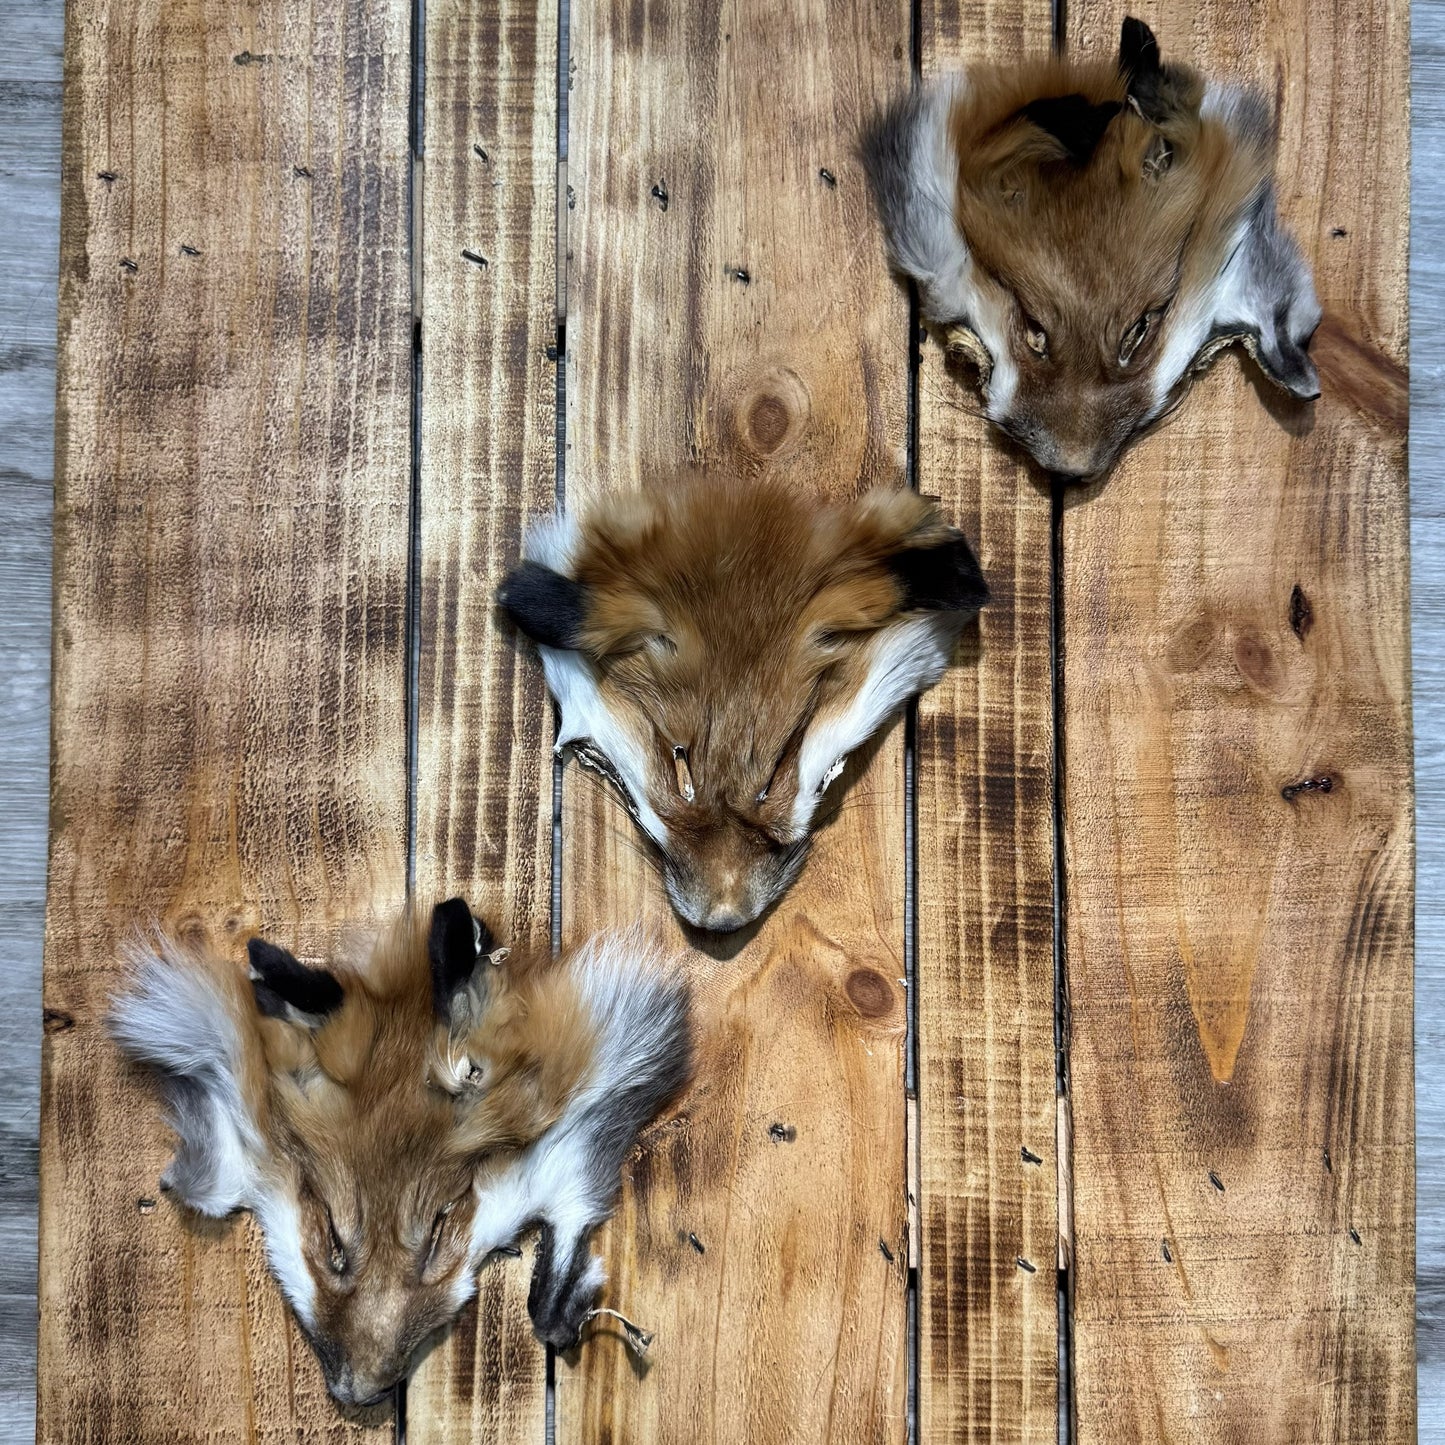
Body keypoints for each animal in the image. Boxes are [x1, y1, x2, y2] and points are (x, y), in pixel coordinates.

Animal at [109, 898, 691, 1409]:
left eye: (439, 1232)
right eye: (333, 1243)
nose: (359, 1395)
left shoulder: (573, 1146)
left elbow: (564, 1227)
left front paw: (573, 1306)